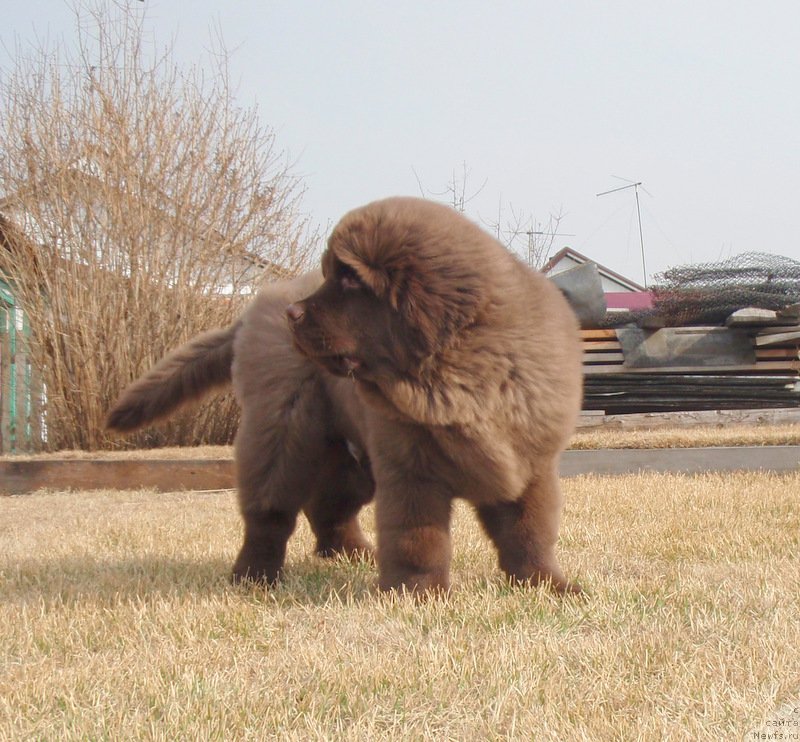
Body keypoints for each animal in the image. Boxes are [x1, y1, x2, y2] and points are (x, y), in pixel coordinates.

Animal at [106, 195, 580, 596]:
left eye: (350, 280)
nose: (293, 314)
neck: (458, 374)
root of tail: (258, 305)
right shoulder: (410, 468)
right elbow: (416, 537)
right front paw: (418, 594)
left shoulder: (528, 462)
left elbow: (528, 531)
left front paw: (549, 586)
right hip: (283, 435)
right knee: (270, 512)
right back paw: (253, 576)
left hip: (352, 460)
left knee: (328, 507)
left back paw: (352, 554)